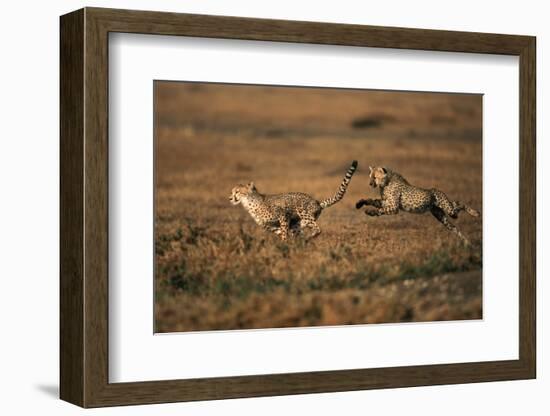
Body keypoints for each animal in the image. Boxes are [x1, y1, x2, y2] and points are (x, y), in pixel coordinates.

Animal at [231, 161, 360, 242]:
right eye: (232, 192)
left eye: (237, 192)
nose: (230, 198)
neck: (251, 203)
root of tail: (317, 202)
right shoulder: (270, 226)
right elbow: (281, 232)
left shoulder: (283, 215)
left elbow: (284, 232)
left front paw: (284, 245)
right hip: (298, 224)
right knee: (301, 232)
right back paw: (302, 241)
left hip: (303, 212)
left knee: (318, 229)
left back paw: (308, 238)